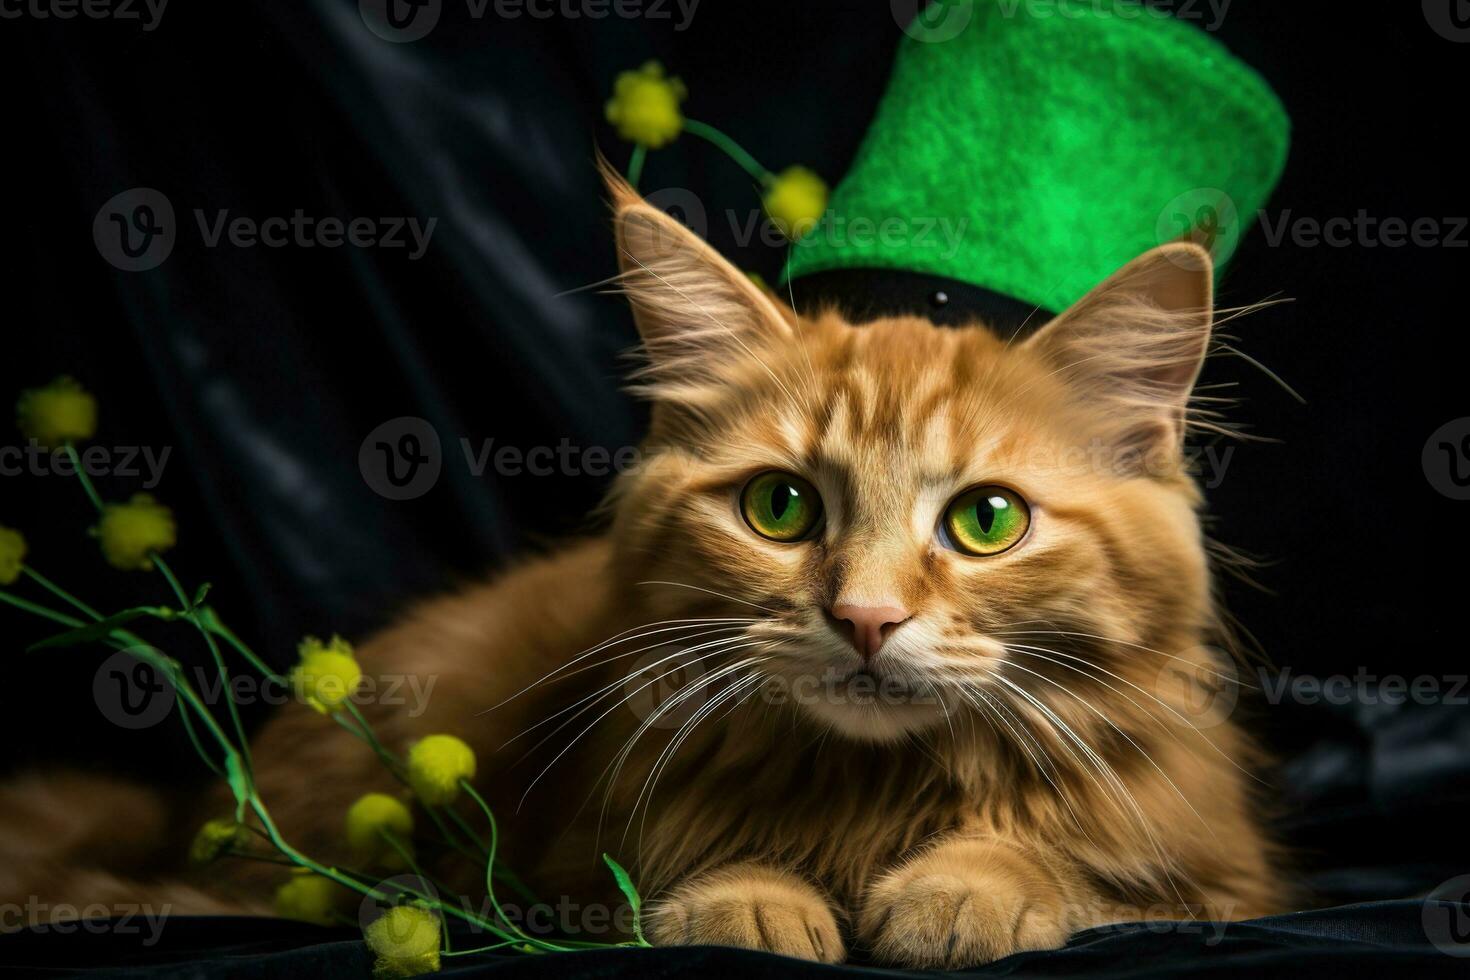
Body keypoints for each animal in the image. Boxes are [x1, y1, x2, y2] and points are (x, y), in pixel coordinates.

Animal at [0, 174, 1281, 963]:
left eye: (987, 520)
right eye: (781, 506)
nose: (865, 616)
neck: (874, 794)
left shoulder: (1222, 871)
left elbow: (1086, 865)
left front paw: (968, 883)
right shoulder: (575, 845)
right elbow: (699, 857)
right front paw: (754, 896)